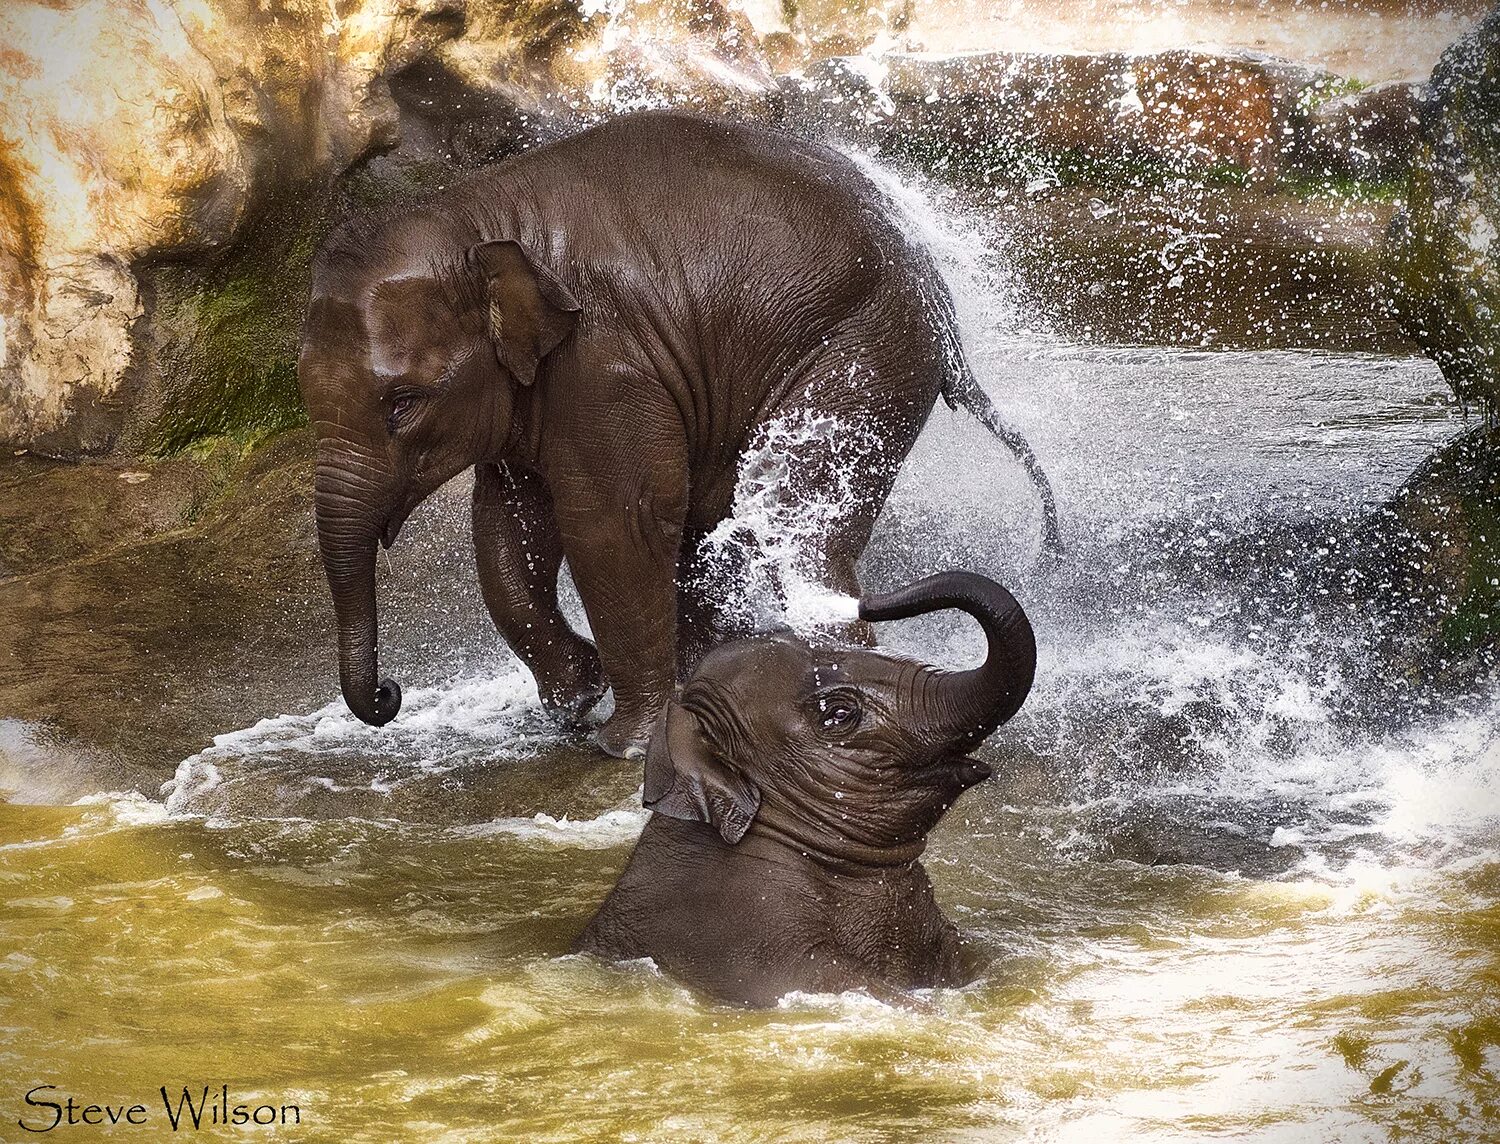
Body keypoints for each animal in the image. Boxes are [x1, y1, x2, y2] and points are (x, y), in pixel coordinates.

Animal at [298, 107, 1062, 755]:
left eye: (403, 403)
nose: (389, 693)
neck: (475, 216)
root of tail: (937, 287)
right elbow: (508, 529)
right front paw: (574, 699)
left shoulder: (607, 363)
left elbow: (615, 521)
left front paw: (622, 743)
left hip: (868, 354)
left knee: (796, 517)